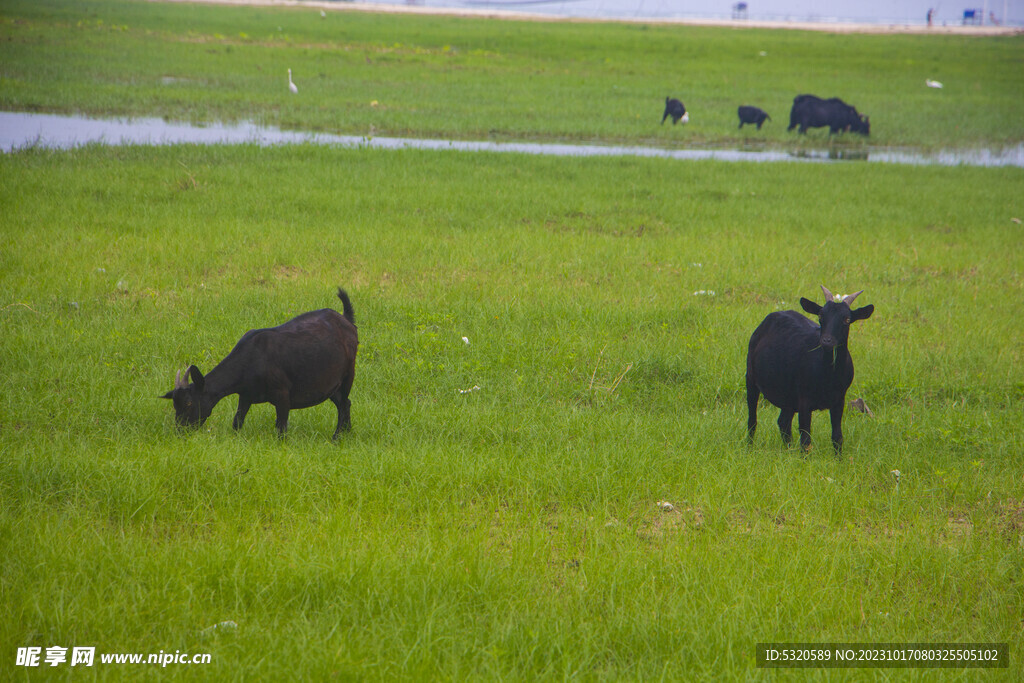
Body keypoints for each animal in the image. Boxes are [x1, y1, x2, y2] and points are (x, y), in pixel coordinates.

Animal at [162, 286, 360, 438]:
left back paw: (336, 437)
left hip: (348, 374)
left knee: (343, 405)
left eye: (189, 403)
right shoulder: (245, 395)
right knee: (345, 403)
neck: (250, 360)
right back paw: (346, 434)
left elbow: (281, 428)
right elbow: (237, 421)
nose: (181, 431)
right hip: (330, 384)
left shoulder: (282, 394)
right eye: (174, 404)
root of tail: (346, 319)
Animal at [749, 286, 876, 454]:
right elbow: (806, 440)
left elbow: (837, 437)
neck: (828, 375)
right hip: (751, 377)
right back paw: (749, 447)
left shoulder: (839, 400)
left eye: (847, 319)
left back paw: (788, 450)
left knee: (783, 422)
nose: (827, 341)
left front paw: (839, 459)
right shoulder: (804, 400)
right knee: (753, 419)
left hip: (788, 396)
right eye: (821, 316)